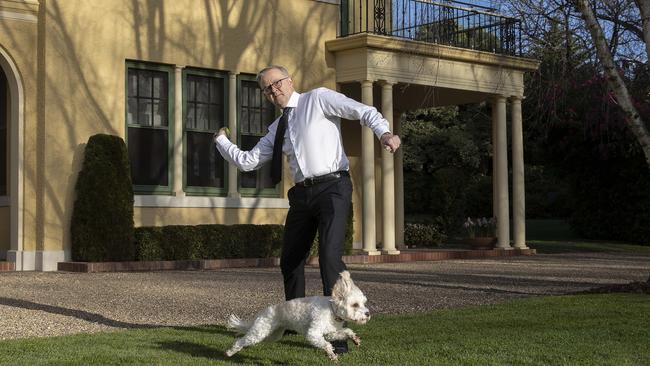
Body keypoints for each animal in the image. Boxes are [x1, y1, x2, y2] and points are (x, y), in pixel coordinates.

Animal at [224, 270, 368, 362]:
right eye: (355, 305)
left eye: (364, 303)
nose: (368, 313)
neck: (331, 310)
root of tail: (264, 311)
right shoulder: (313, 334)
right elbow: (326, 345)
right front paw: (331, 354)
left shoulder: (330, 333)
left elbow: (346, 331)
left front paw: (355, 338)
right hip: (259, 332)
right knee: (241, 340)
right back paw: (230, 352)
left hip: (272, 335)